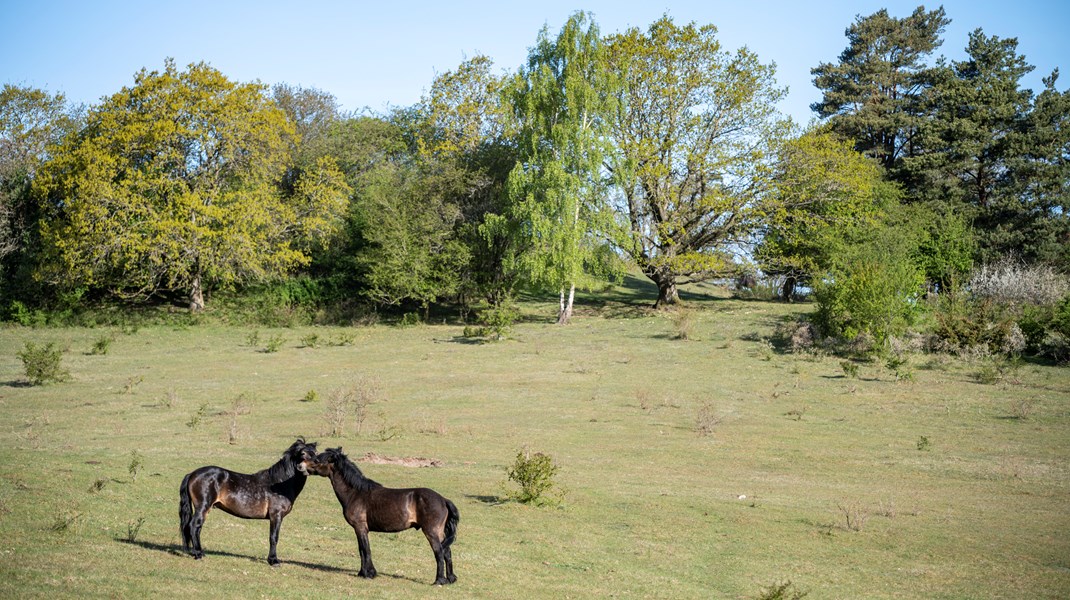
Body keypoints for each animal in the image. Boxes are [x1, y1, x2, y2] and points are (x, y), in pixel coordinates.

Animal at [175, 438, 314, 564]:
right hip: (203, 507)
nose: (314, 464)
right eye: (302, 453)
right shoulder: (276, 515)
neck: (279, 484)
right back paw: (198, 554)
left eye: (315, 453)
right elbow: (274, 537)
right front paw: (273, 560)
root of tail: (192, 474)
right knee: (194, 526)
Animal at [299, 447, 457, 581]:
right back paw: (450, 579)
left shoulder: (360, 527)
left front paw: (369, 574)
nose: (300, 466)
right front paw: (362, 573)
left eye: (317, 460)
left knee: (439, 552)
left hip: (431, 532)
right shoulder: (359, 529)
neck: (356, 493)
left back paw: (439, 580)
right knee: (447, 552)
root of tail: (443, 500)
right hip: (440, 532)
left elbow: (365, 549)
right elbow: (361, 550)